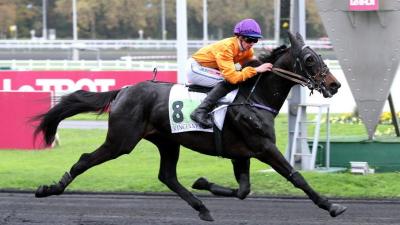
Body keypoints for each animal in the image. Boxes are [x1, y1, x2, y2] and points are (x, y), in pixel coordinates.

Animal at [34, 32, 346, 221]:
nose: (335, 85)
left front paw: (203, 183)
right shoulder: (263, 147)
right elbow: (296, 177)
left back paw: (202, 206)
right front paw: (331, 205)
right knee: (86, 159)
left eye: (320, 56)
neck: (255, 98)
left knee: (167, 176)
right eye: (310, 59)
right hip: (121, 141)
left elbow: (243, 190)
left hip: (167, 142)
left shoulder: (241, 153)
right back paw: (50, 188)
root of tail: (123, 90)